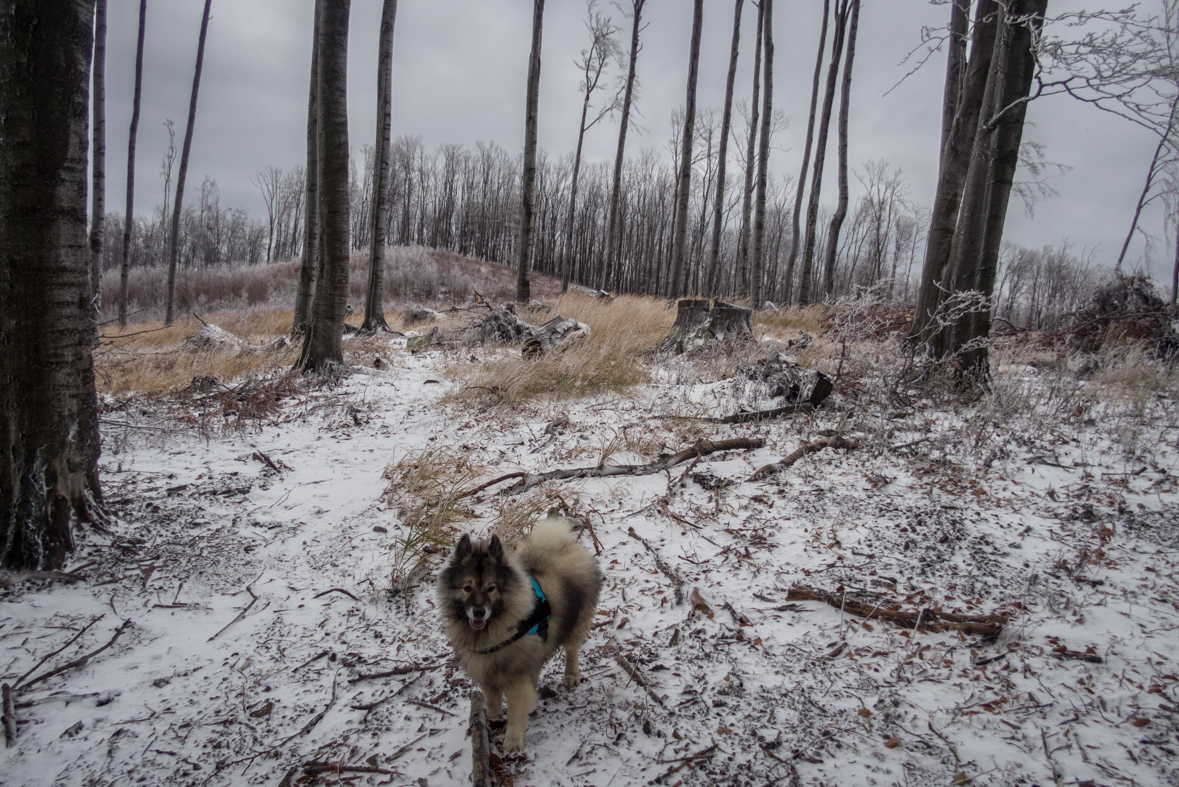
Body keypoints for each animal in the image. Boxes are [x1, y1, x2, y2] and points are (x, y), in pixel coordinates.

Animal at [443, 516, 608, 749]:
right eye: (467, 588)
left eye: (491, 588)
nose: (478, 611)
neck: (493, 629)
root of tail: (566, 545)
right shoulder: (487, 671)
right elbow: (492, 701)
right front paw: (492, 720)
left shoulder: (515, 676)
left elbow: (515, 711)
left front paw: (512, 741)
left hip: (577, 621)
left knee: (571, 649)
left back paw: (571, 675)